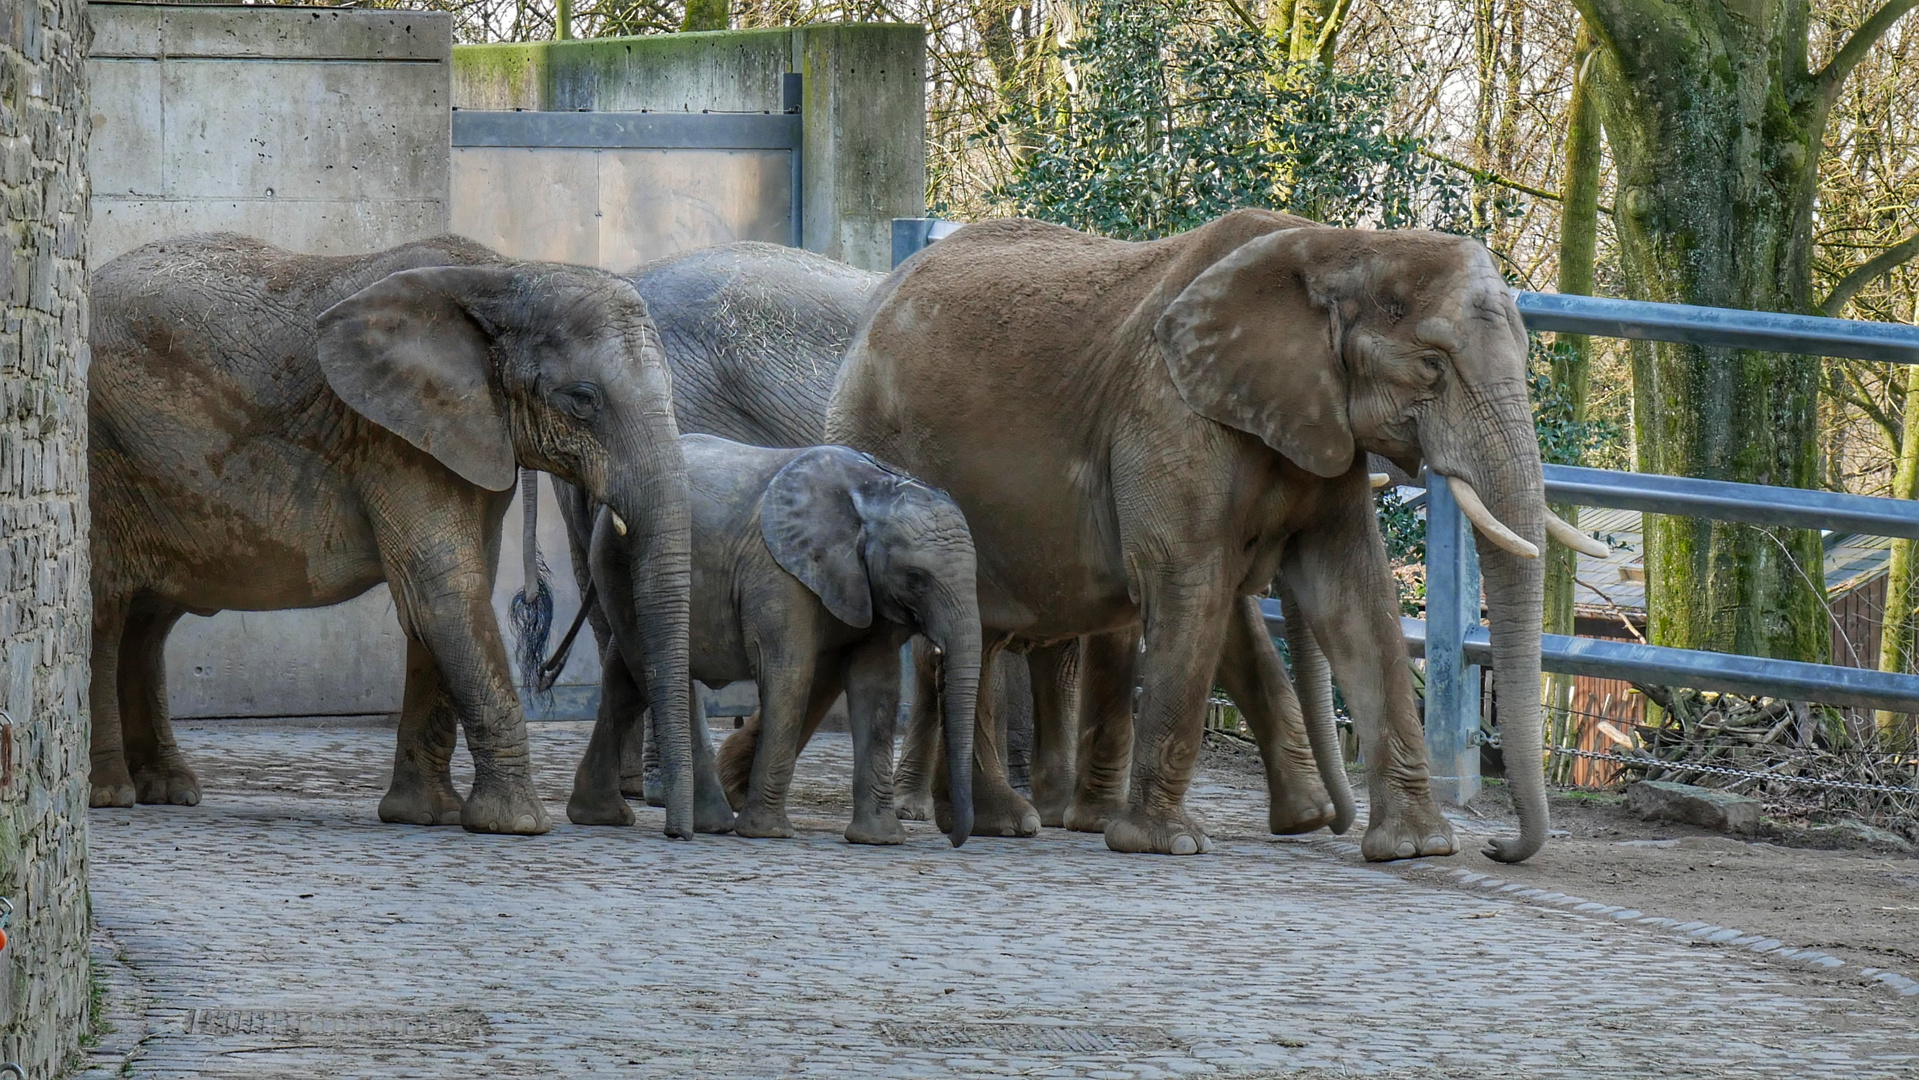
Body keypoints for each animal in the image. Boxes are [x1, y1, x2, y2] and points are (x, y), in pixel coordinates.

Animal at [90, 232, 702, 836]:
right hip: (101, 456)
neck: (504, 275)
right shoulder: (396, 441)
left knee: (149, 622)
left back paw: (169, 791)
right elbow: (445, 599)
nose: (676, 831)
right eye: (582, 399)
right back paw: (111, 794)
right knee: (105, 610)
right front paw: (518, 825)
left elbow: (446, 602)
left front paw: (426, 815)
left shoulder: (463, 437)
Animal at [556, 435, 974, 847]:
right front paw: (769, 833)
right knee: (655, 668)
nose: (954, 838)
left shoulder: (868, 589)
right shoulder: (776, 573)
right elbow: (790, 674)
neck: (875, 489)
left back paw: (602, 816)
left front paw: (880, 840)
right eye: (916, 578)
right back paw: (710, 822)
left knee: (625, 678)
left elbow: (877, 686)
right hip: (616, 559)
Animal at [825, 209, 1604, 863]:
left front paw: (1412, 847)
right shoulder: (1169, 411)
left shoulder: (1320, 427)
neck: (1339, 246)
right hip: (877, 439)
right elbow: (1189, 582)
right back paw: (998, 821)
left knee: (976, 632)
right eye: (1432, 368)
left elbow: (1351, 597)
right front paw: (1165, 844)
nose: (1498, 848)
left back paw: (996, 822)